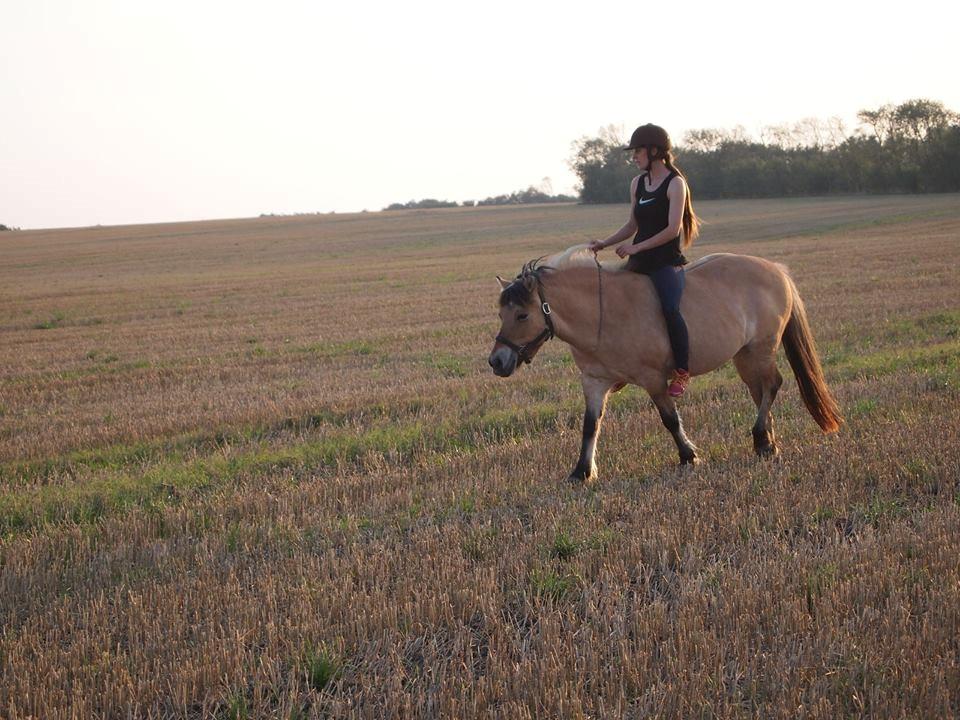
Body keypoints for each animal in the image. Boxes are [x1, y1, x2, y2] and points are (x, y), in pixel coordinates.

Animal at [488, 248, 840, 484]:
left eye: (522, 314)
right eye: (501, 314)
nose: (496, 361)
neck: (602, 313)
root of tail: (776, 270)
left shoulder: (653, 378)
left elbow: (669, 419)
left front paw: (688, 455)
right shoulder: (594, 381)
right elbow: (590, 425)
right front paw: (582, 471)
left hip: (761, 349)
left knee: (772, 385)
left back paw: (759, 437)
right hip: (745, 356)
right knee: (761, 390)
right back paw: (768, 442)